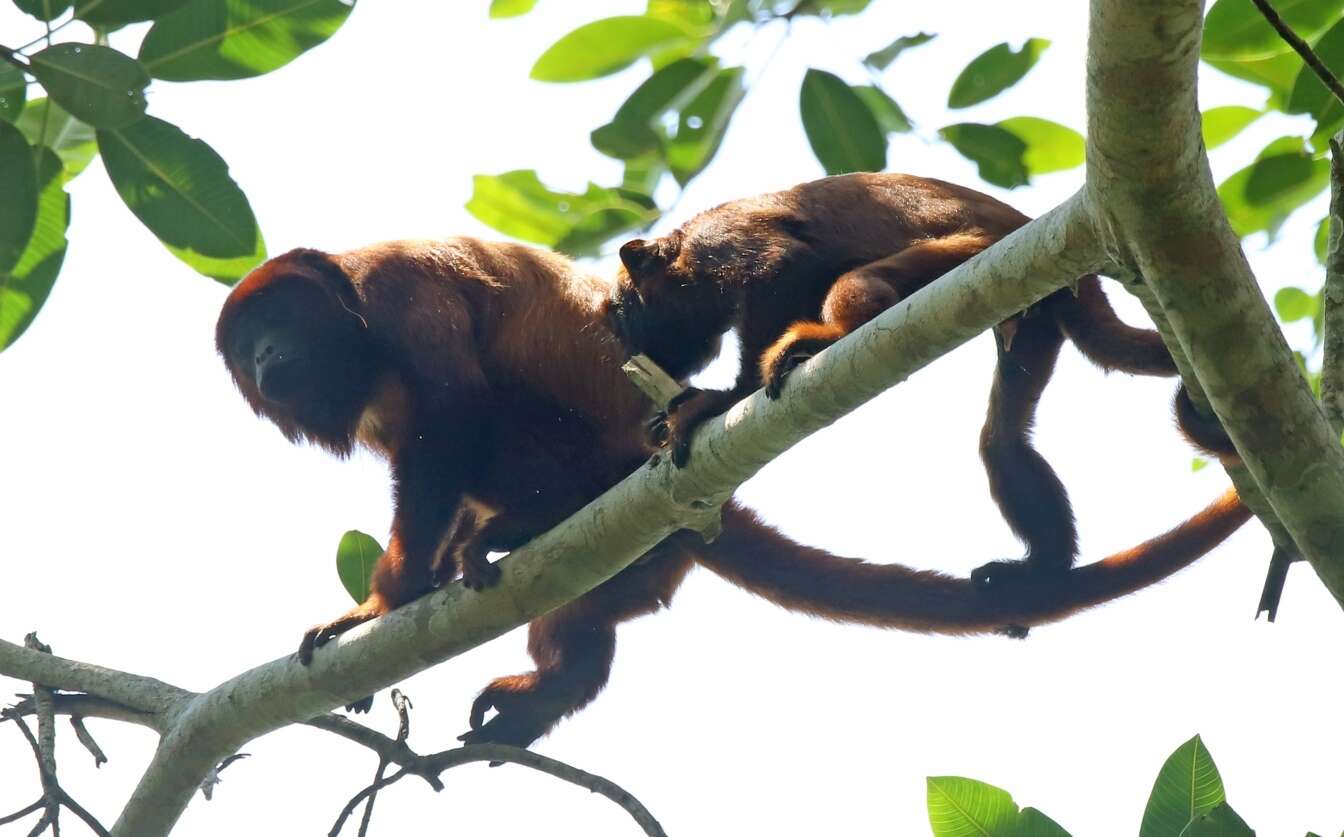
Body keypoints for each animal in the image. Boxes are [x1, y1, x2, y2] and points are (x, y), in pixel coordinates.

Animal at [217, 237, 1247, 752]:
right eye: (244, 345)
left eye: (282, 322)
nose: (262, 358)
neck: (353, 309)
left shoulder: (403, 292)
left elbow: (448, 421)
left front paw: (379, 605)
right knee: (587, 628)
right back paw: (548, 682)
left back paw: (528, 527)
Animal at [604, 170, 1241, 593]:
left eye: (623, 307)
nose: (627, 341)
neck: (685, 254)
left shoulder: (724, 243)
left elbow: (780, 267)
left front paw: (721, 399)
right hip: (1034, 311)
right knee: (1001, 440)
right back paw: (1046, 566)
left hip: (983, 256)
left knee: (858, 283)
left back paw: (823, 338)